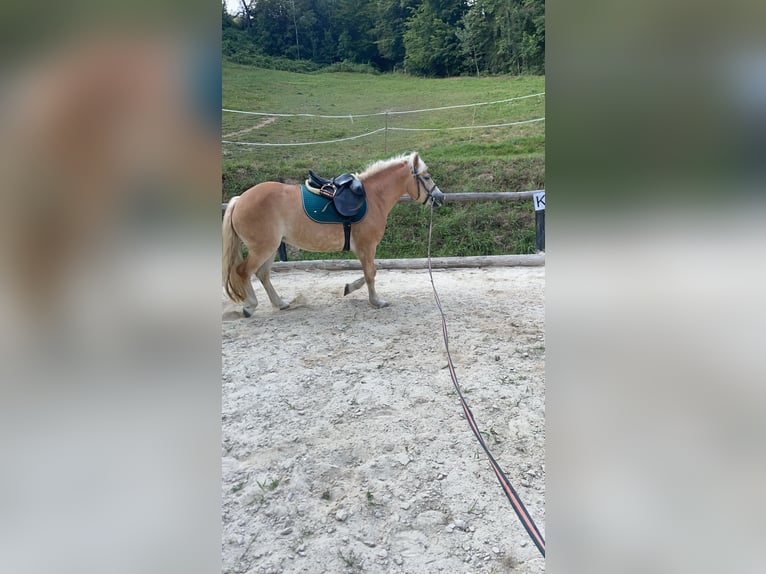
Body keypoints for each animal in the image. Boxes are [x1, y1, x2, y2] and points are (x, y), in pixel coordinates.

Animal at [222, 151, 448, 318]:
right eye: (426, 177)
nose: (440, 197)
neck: (373, 197)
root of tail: (239, 200)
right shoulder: (367, 246)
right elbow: (371, 273)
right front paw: (376, 301)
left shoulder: (364, 248)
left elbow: (371, 272)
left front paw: (349, 288)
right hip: (262, 248)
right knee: (244, 271)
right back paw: (250, 306)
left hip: (272, 247)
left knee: (262, 274)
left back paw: (281, 303)